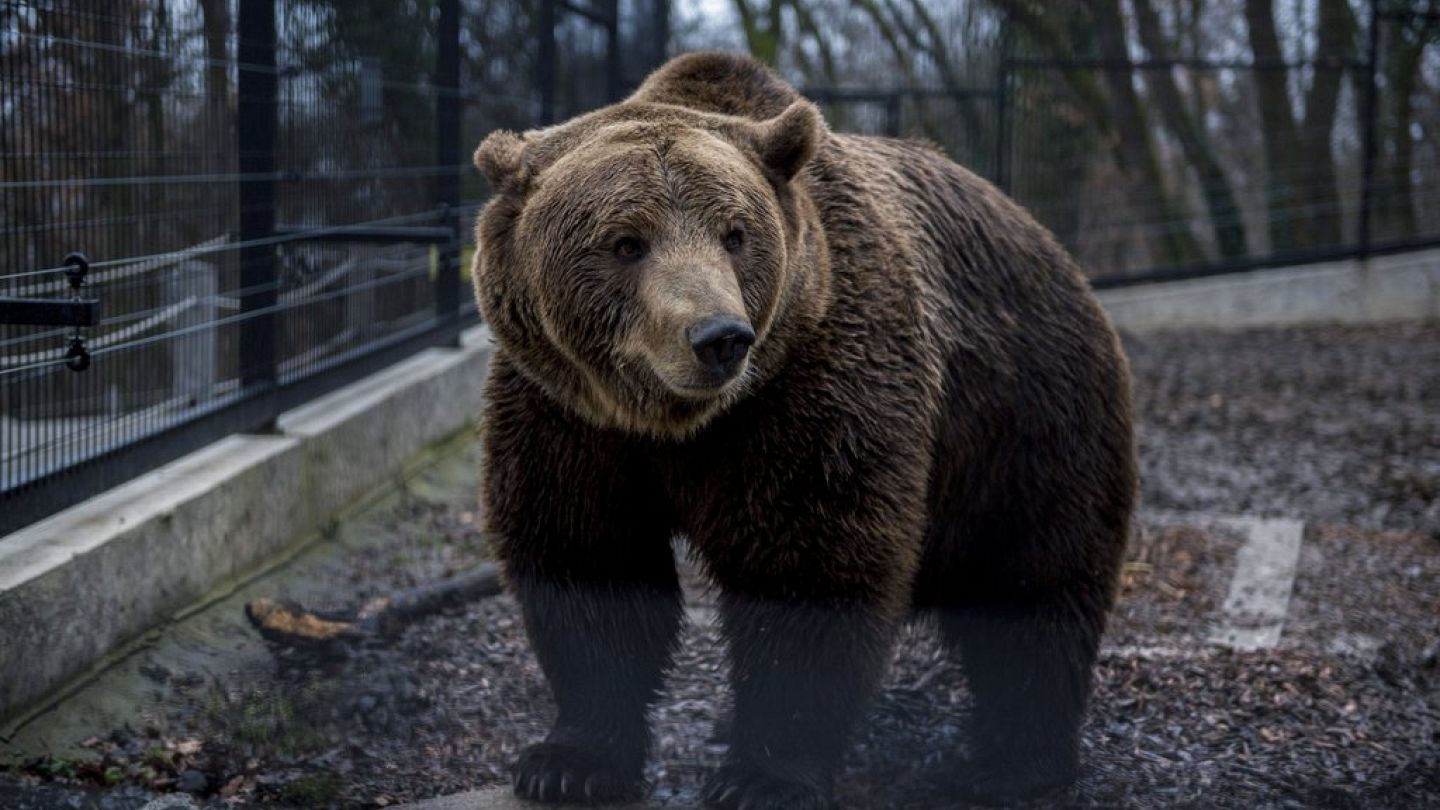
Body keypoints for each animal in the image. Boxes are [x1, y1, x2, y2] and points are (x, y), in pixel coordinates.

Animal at [472, 51, 1134, 807]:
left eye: (735, 233)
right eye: (626, 242)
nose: (719, 337)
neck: (677, 423)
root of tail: (1052, 247)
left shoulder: (814, 389)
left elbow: (808, 565)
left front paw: (763, 776)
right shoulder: (566, 414)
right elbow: (586, 561)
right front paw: (568, 761)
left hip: (1027, 411)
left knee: (1033, 579)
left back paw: (1011, 763)